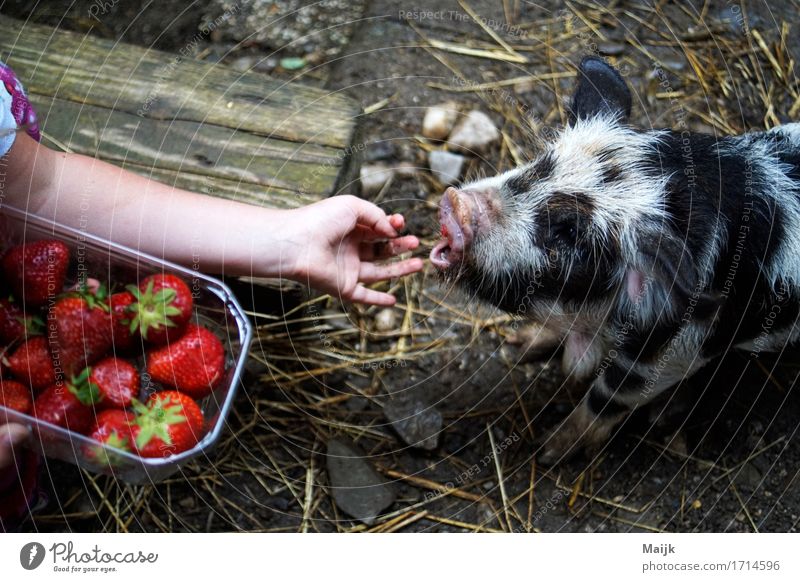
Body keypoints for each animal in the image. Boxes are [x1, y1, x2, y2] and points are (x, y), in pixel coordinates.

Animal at [432, 54, 800, 466]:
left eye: (571, 234)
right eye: (540, 164)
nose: (457, 204)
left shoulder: (674, 351)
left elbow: (607, 396)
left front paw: (549, 451)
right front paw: (519, 345)